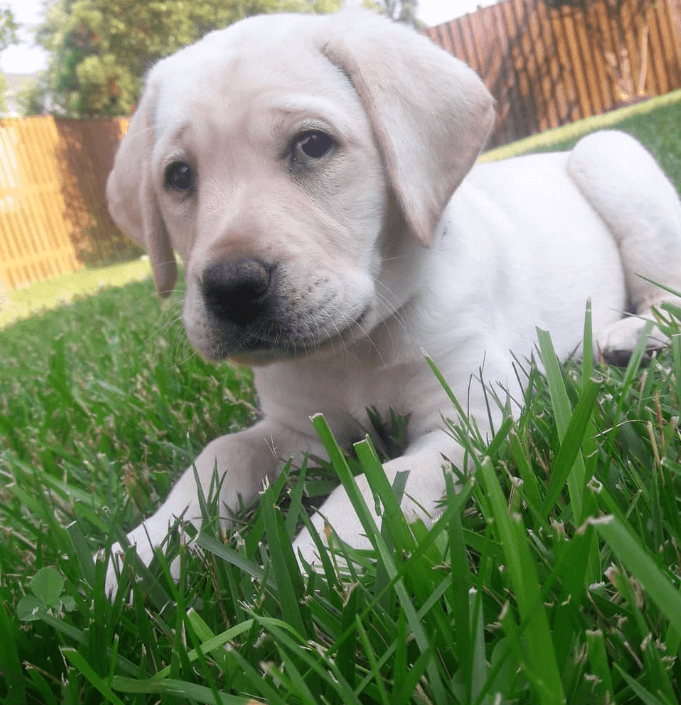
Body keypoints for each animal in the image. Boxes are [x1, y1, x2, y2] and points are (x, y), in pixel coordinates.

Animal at [105, 9, 680, 588]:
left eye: (312, 144)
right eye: (179, 176)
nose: (231, 288)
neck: (354, 348)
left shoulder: (469, 417)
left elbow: (377, 485)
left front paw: (316, 562)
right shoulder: (296, 429)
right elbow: (220, 453)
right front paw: (140, 551)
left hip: (609, 158)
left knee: (665, 293)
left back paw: (630, 336)